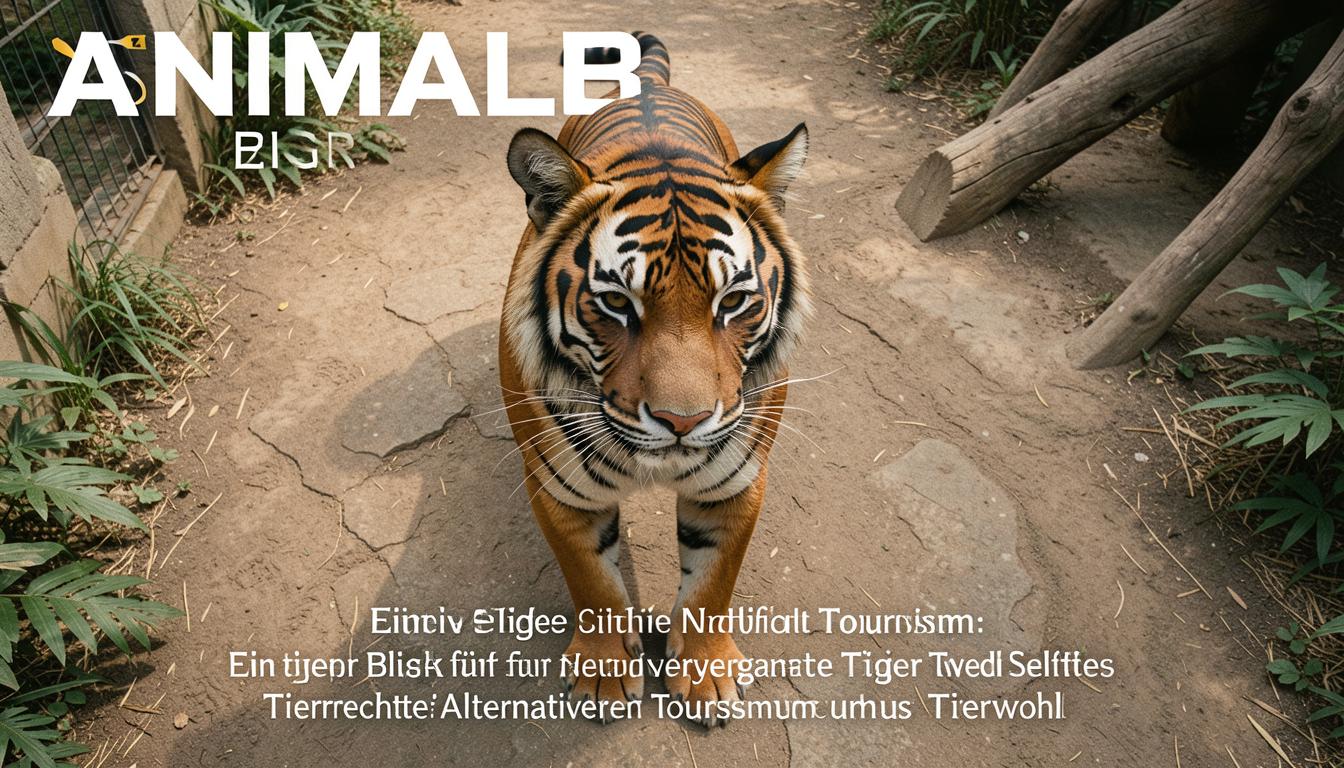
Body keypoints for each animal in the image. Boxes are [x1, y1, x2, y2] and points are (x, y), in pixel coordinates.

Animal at [498, 32, 810, 727]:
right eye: (617, 303)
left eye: (733, 301)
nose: (682, 422)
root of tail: (648, 85)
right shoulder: (557, 489)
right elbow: (592, 584)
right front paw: (604, 678)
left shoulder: (737, 483)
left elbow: (713, 583)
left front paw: (709, 676)